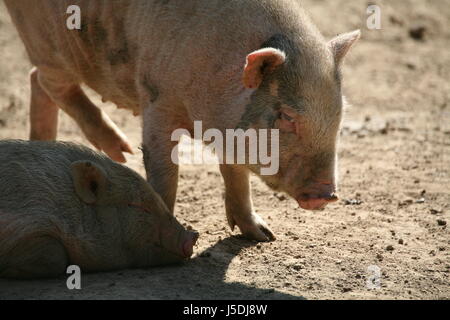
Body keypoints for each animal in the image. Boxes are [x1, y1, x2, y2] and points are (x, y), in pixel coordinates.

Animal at [5, 0, 360, 240]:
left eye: (339, 113)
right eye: (286, 115)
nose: (327, 193)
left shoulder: (229, 130)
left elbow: (235, 176)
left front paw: (264, 235)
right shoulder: (157, 100)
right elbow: (165, 173)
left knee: (38, 82)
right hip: (47, 44)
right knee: (50, 82)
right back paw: (121, 151)